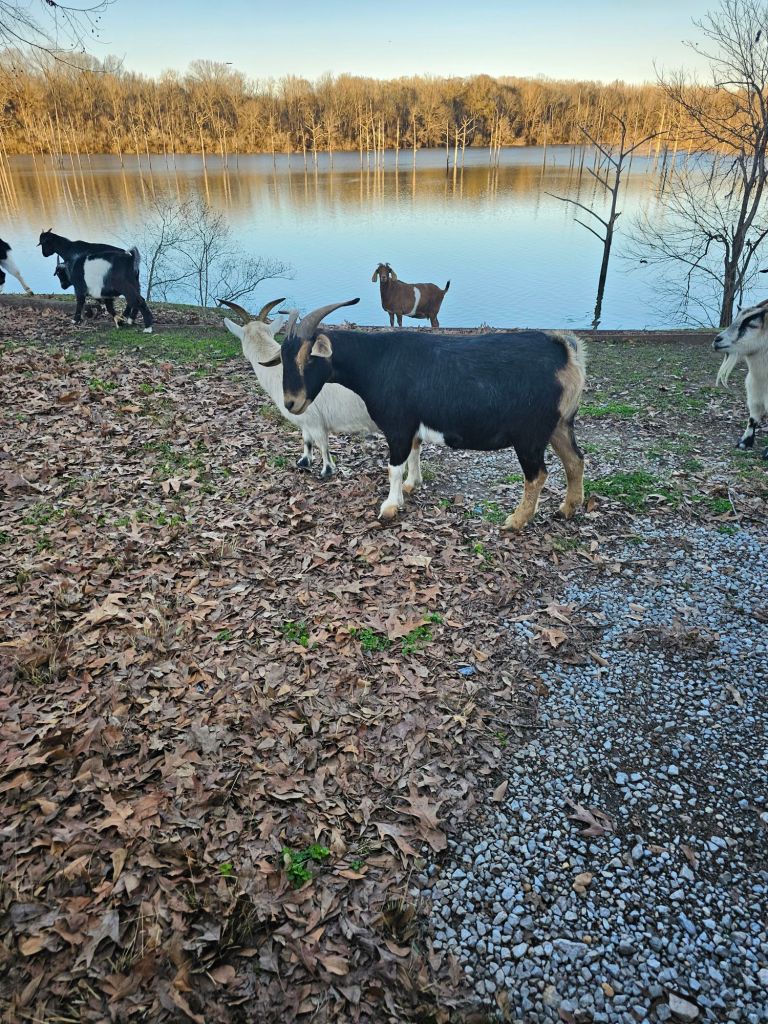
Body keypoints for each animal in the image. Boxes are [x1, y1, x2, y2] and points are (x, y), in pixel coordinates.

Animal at [219, 298, 392, 480]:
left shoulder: (314, 419)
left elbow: (322, 444)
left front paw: (327, 470)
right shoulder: (305, 420)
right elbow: (306, 439)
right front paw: (304, 460)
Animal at [272, 299, 586, 529]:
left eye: (308, 357)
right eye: (283, 357)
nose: (291, 403)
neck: (376, 361)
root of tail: (565, 353)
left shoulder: (397, 426)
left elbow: (393, 466)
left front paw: (390, 506)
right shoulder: (412, 424)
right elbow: (415, 451)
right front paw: (412, 485)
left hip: (529, 434)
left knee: (538, 474)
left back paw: (516, 521)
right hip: (560, 424)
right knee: (575, 460)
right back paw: (566, 510)